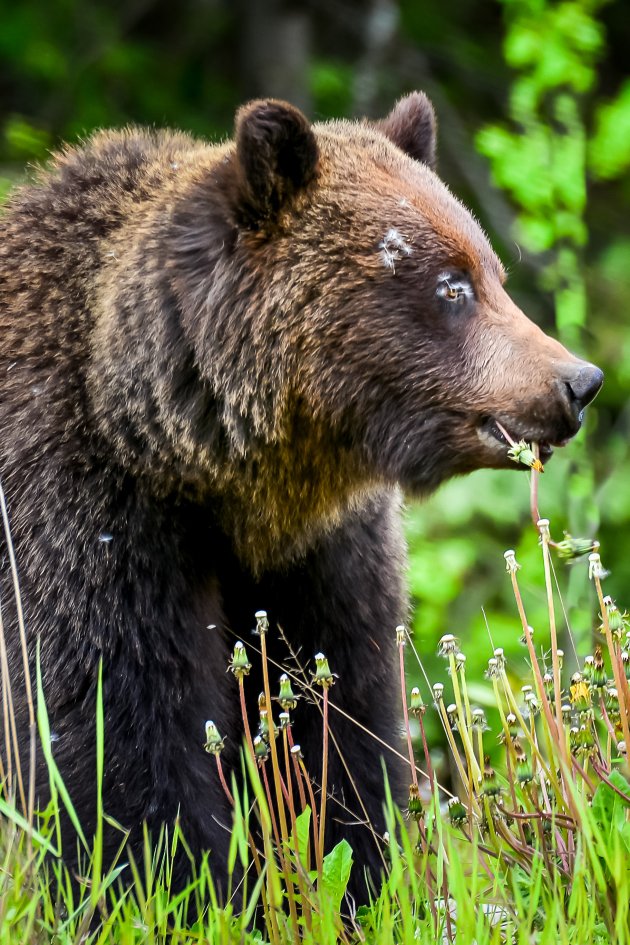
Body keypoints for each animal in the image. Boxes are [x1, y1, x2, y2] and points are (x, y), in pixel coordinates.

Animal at [0, 94, 604, 900]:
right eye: (454, 284)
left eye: (493, 272)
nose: (578, 381)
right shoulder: (82, 511)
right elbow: (116, 725)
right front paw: (176, 883)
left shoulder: (322, 552)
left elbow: (338, 716)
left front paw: (352, 874)